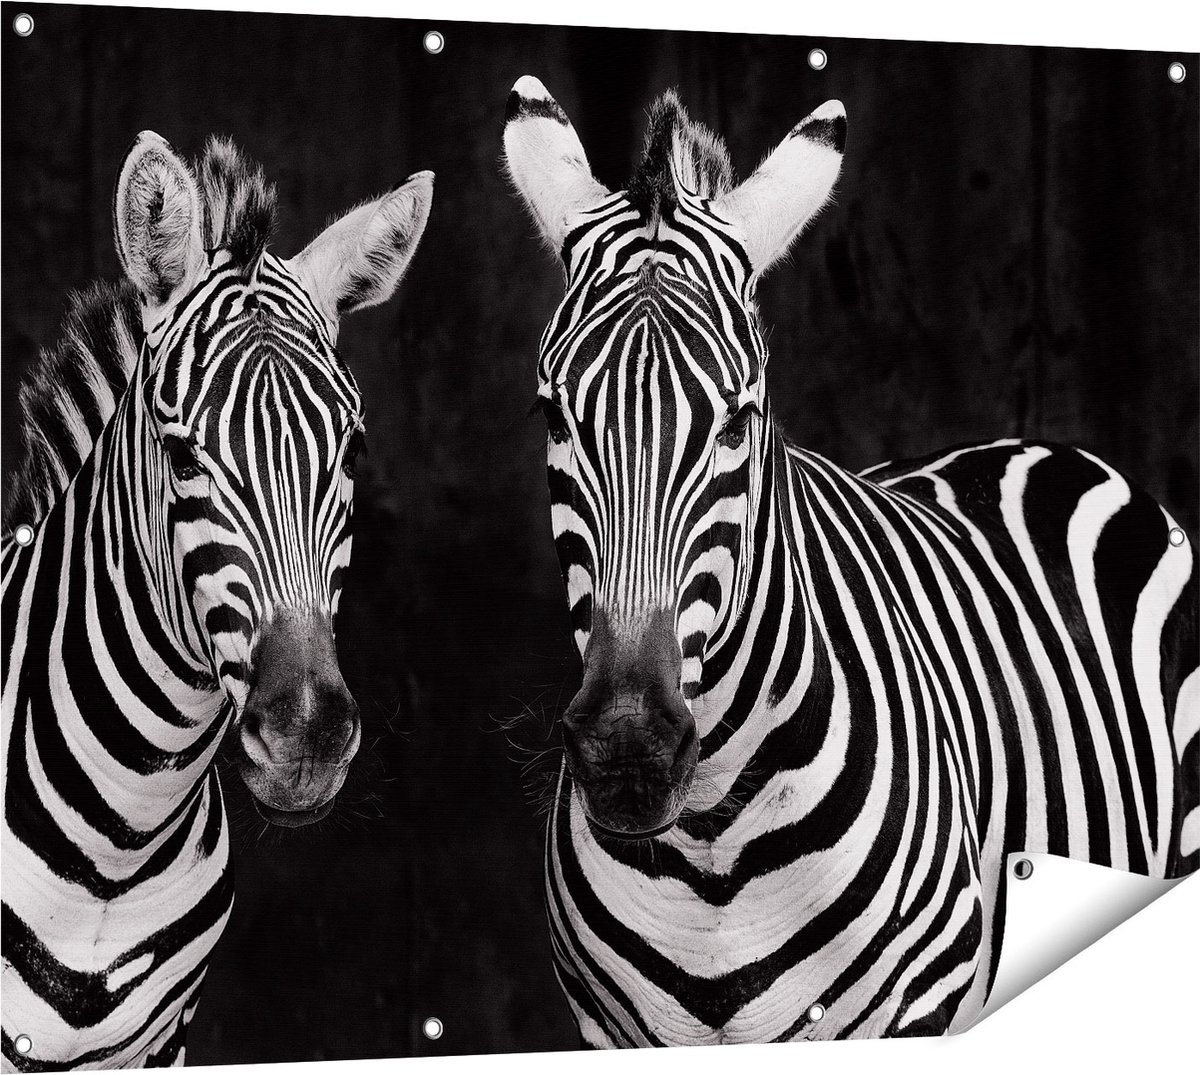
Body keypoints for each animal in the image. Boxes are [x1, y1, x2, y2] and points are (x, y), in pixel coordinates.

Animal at [503, 76, 1198, 1045]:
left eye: (738, 422)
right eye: (552, 417)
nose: (626, 750)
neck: (712, 847)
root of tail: (1027, 445)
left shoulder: (920, 1007)